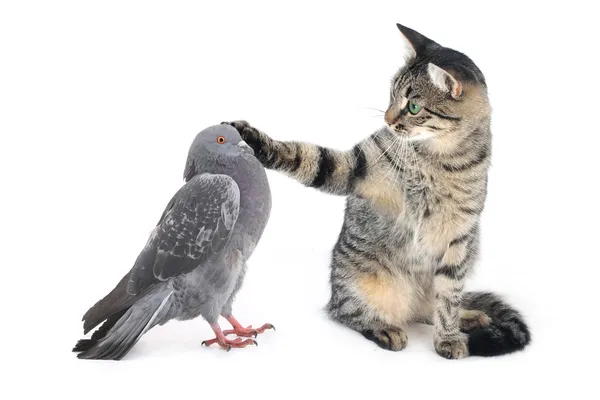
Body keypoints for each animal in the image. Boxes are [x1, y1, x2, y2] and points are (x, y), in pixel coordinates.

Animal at [224, 22, 528, 360]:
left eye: (413, 107)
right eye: (391, 95)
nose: (387, 119)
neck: (439, 158)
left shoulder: (460, 236)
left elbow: (448, 298)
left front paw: (448, 338)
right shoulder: (357, 166)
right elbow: (307, 157)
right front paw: (253, 139)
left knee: (430, 308)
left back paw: (471, 316)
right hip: (364, 282)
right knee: (347, 312)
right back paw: (385, 328)